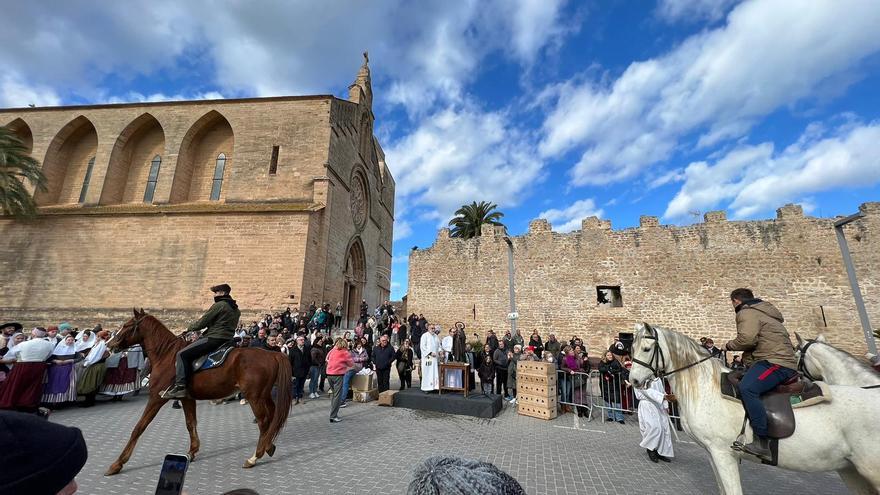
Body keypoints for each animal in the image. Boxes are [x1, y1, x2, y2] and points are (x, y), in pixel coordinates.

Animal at [102, 310, 288, 476]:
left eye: (127, 325)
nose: (109, 345)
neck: (166, 354)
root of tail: (272, 355)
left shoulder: (156, 397)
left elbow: (139, 427)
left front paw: (117, 463)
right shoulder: (186, 398)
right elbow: (190, 423)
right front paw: (192, 452)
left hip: (254, 397)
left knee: (264, 421)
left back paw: (255, 457)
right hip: (264, 395)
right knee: (273, 416)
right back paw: (269, 446)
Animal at [624, 324, 880, 494]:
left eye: (646, 348)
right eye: (631, 349)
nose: (633, 380)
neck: (707, 386)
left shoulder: (722, 453)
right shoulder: (712, 454)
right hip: (851, 471)